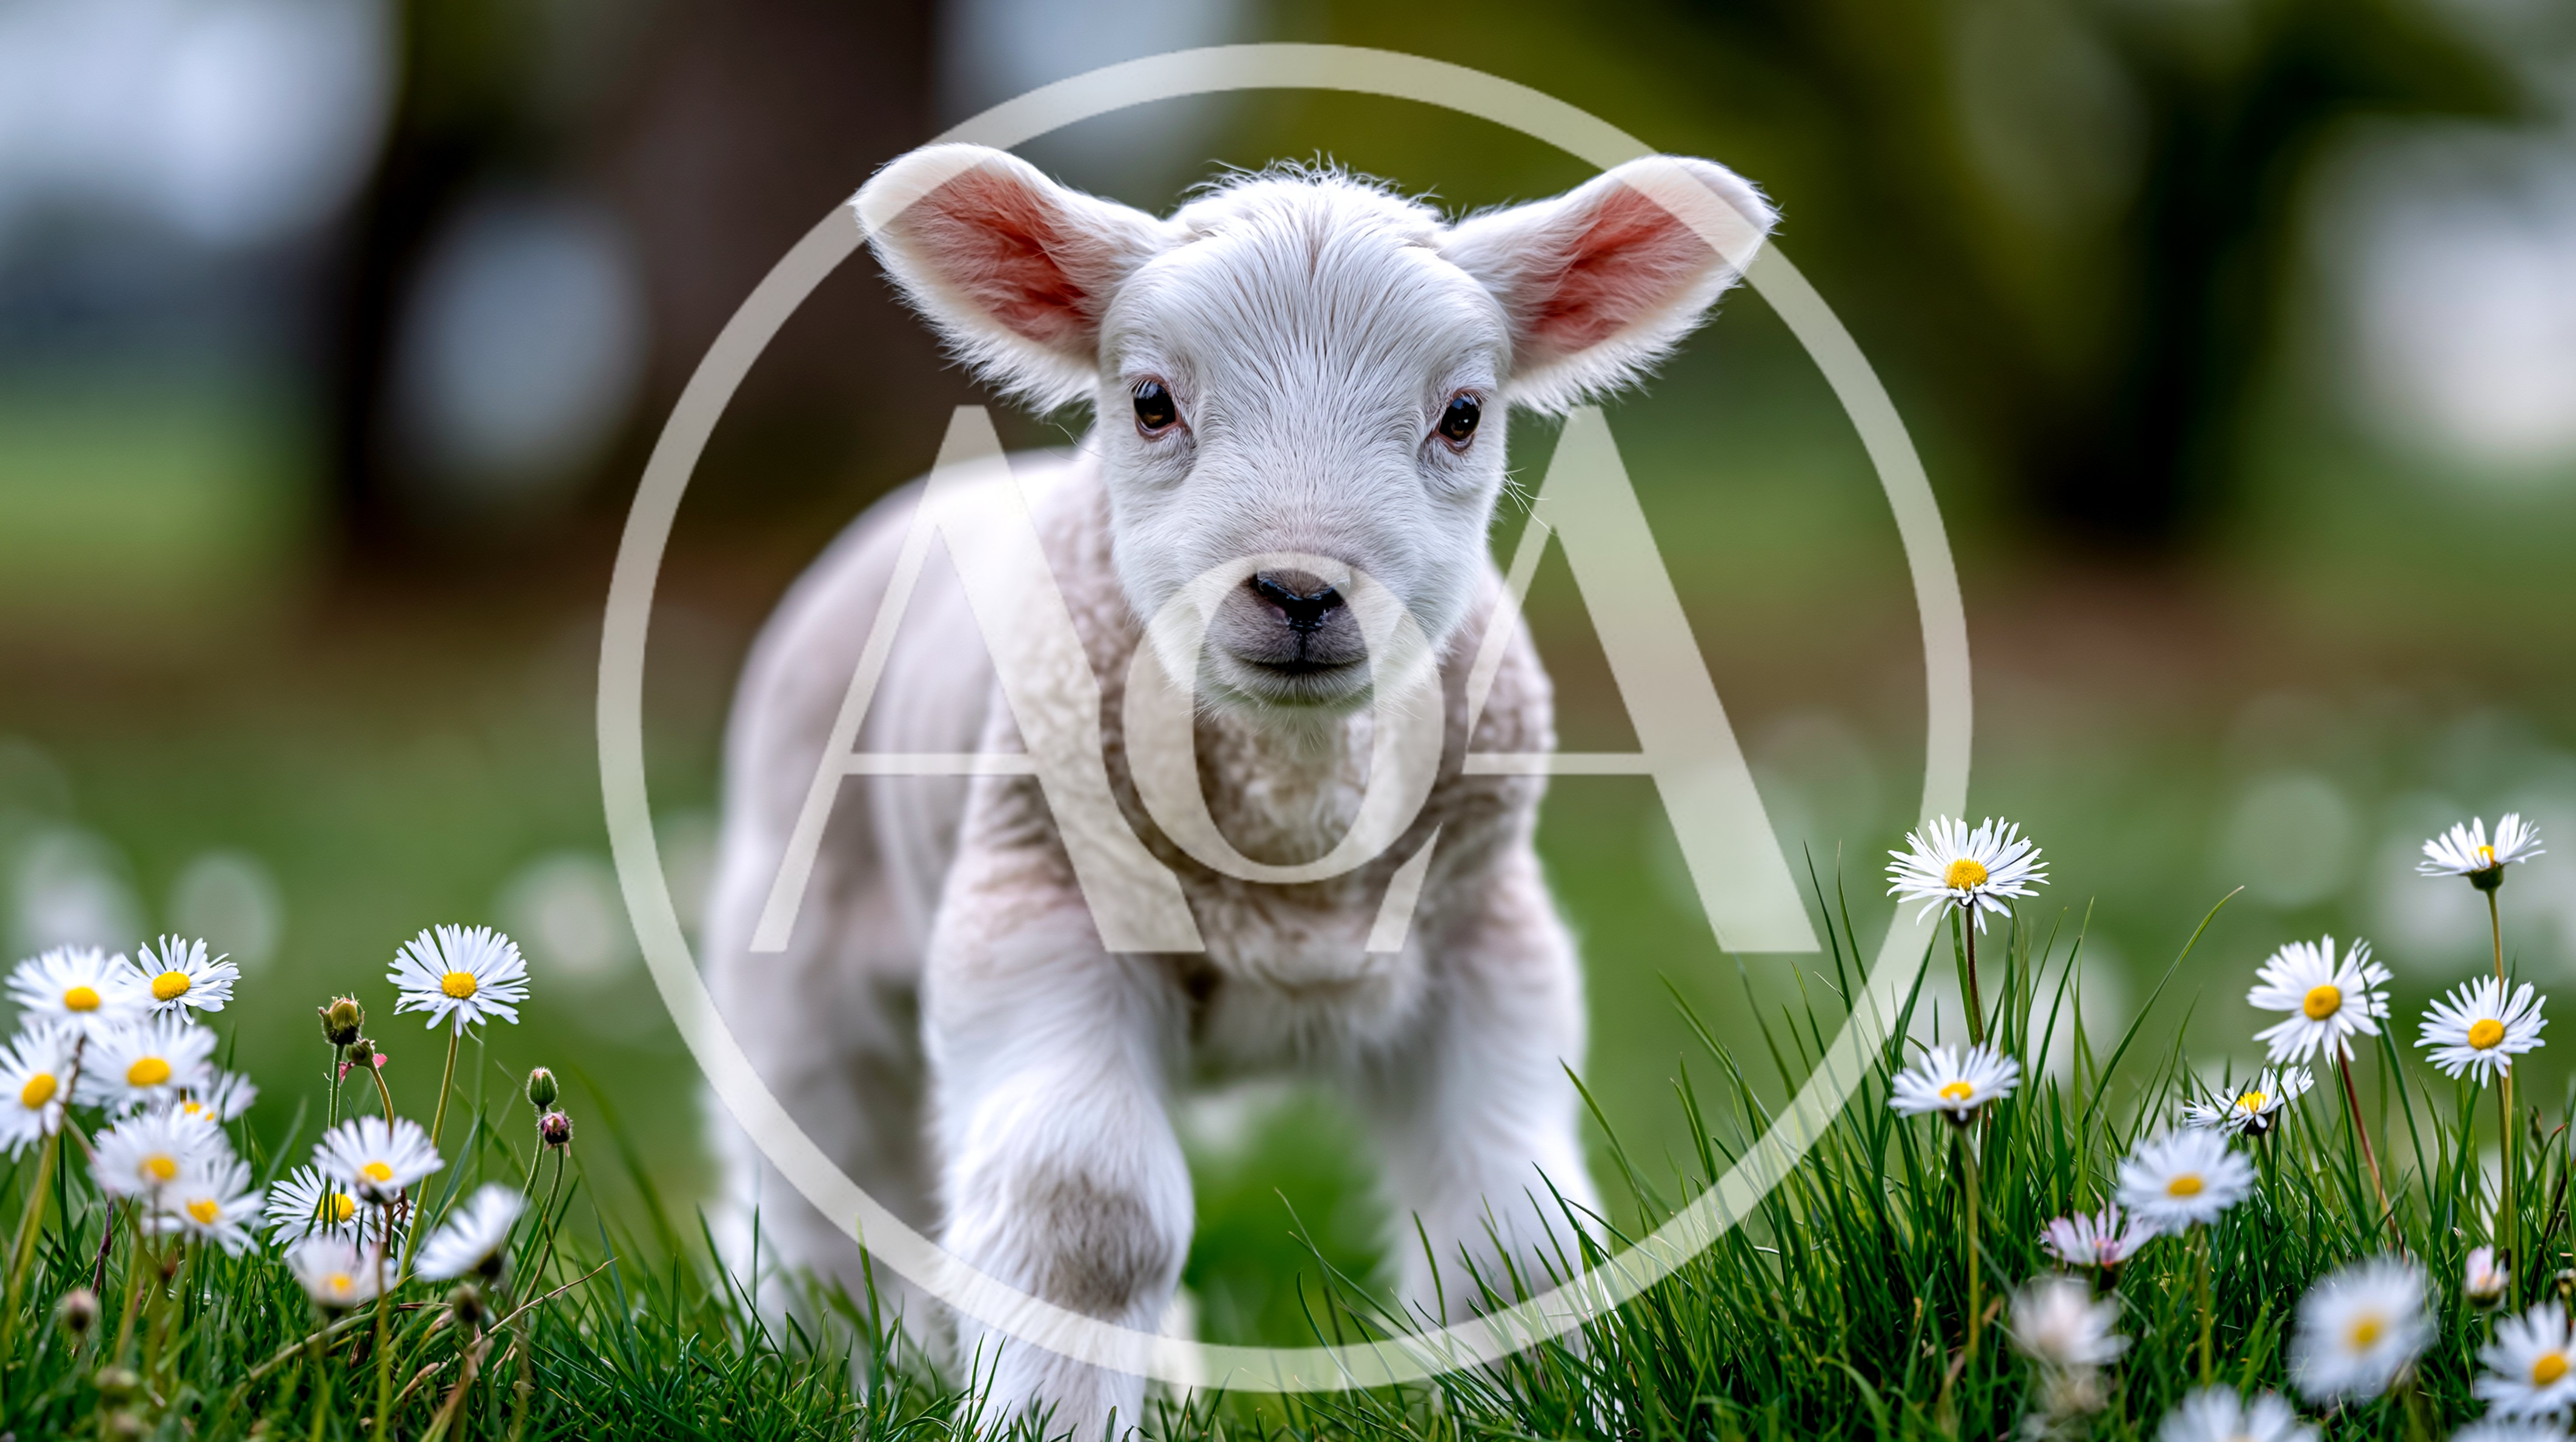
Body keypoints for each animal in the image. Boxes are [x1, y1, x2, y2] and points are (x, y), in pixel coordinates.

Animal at [702, 142, 1776, 1436]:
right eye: (1151, 401)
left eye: (1463, 415)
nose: (1303, 591)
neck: (1292, 813)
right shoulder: (1040, 905)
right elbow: (1088, 1221)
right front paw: (1054, 1418)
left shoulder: (1486, 941)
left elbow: (1510, 1244)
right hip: (795, 950)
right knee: (817, 1183)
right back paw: (815, 1364)